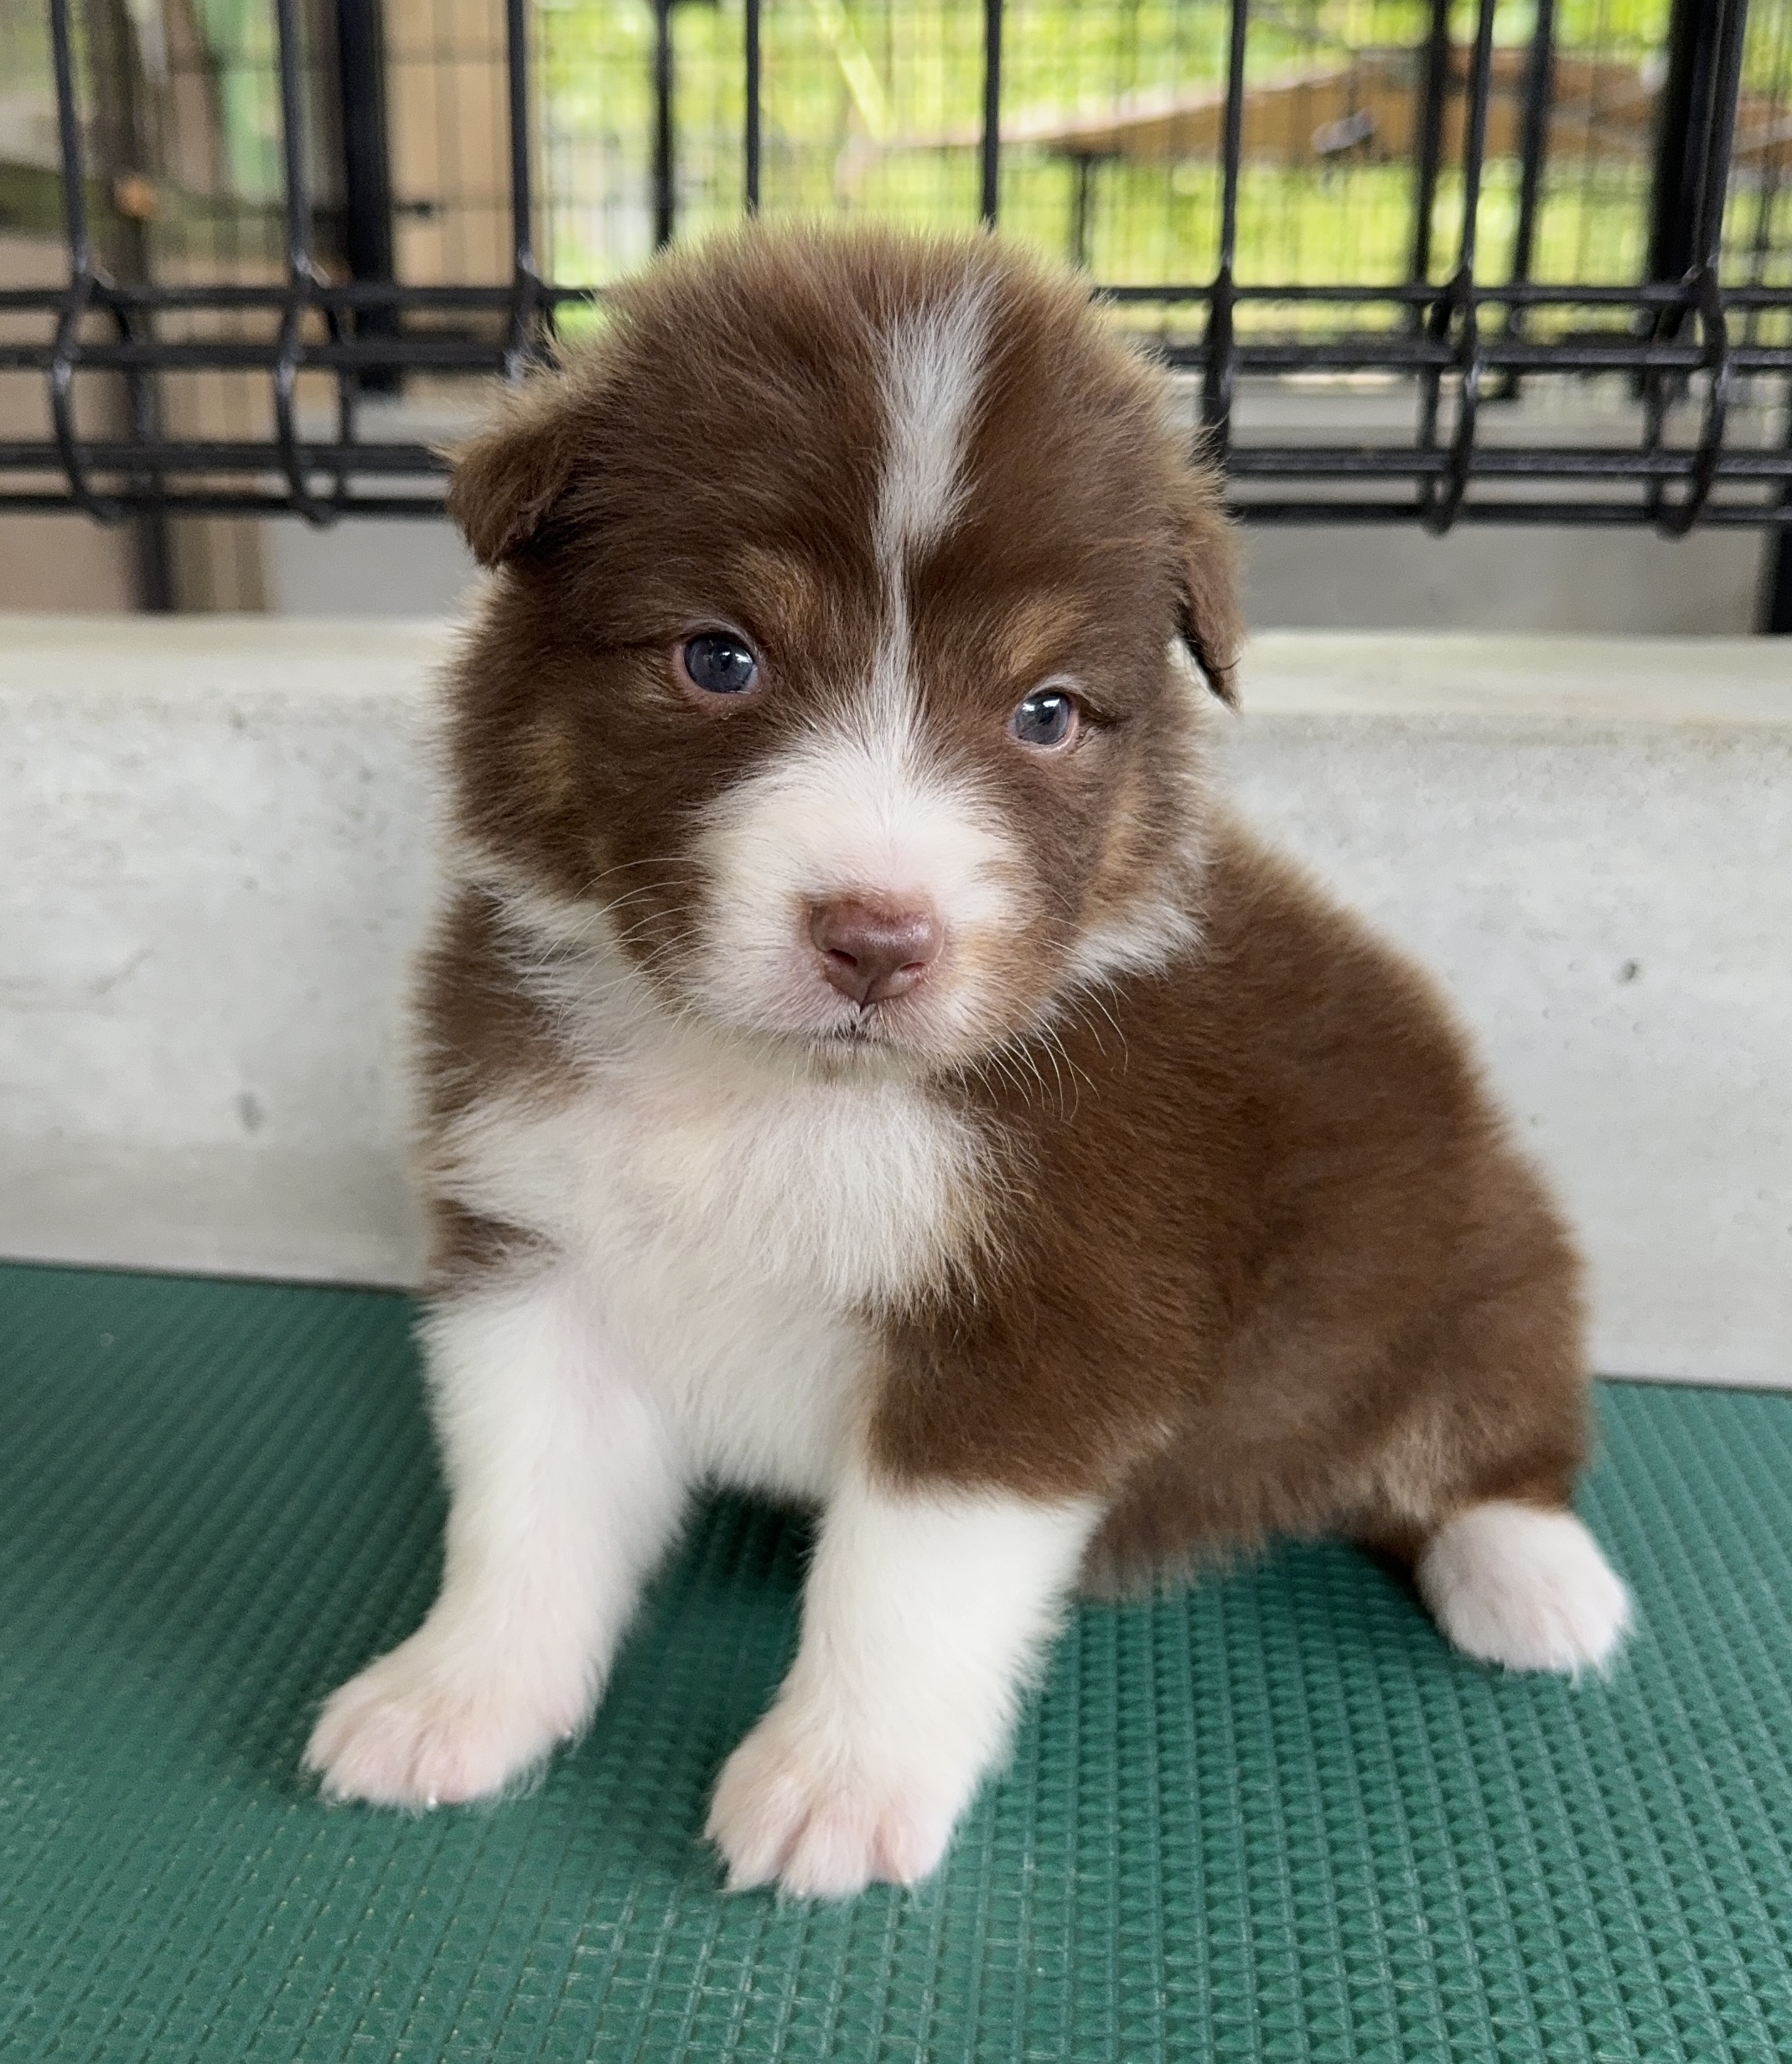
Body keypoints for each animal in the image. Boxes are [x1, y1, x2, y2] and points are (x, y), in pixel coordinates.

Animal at [303, 221, 1626, 1890]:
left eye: (1044, 712)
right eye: (719, 658)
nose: (877, 937)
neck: (770, 1087)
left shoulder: (1044, 1321)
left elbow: (900, 1587)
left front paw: (835, 1784)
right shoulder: (538, 1249)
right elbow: (522, 1513)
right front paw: (454, 1696)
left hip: (1483, 1257)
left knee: (1483, 1443)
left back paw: (1538, 1583)